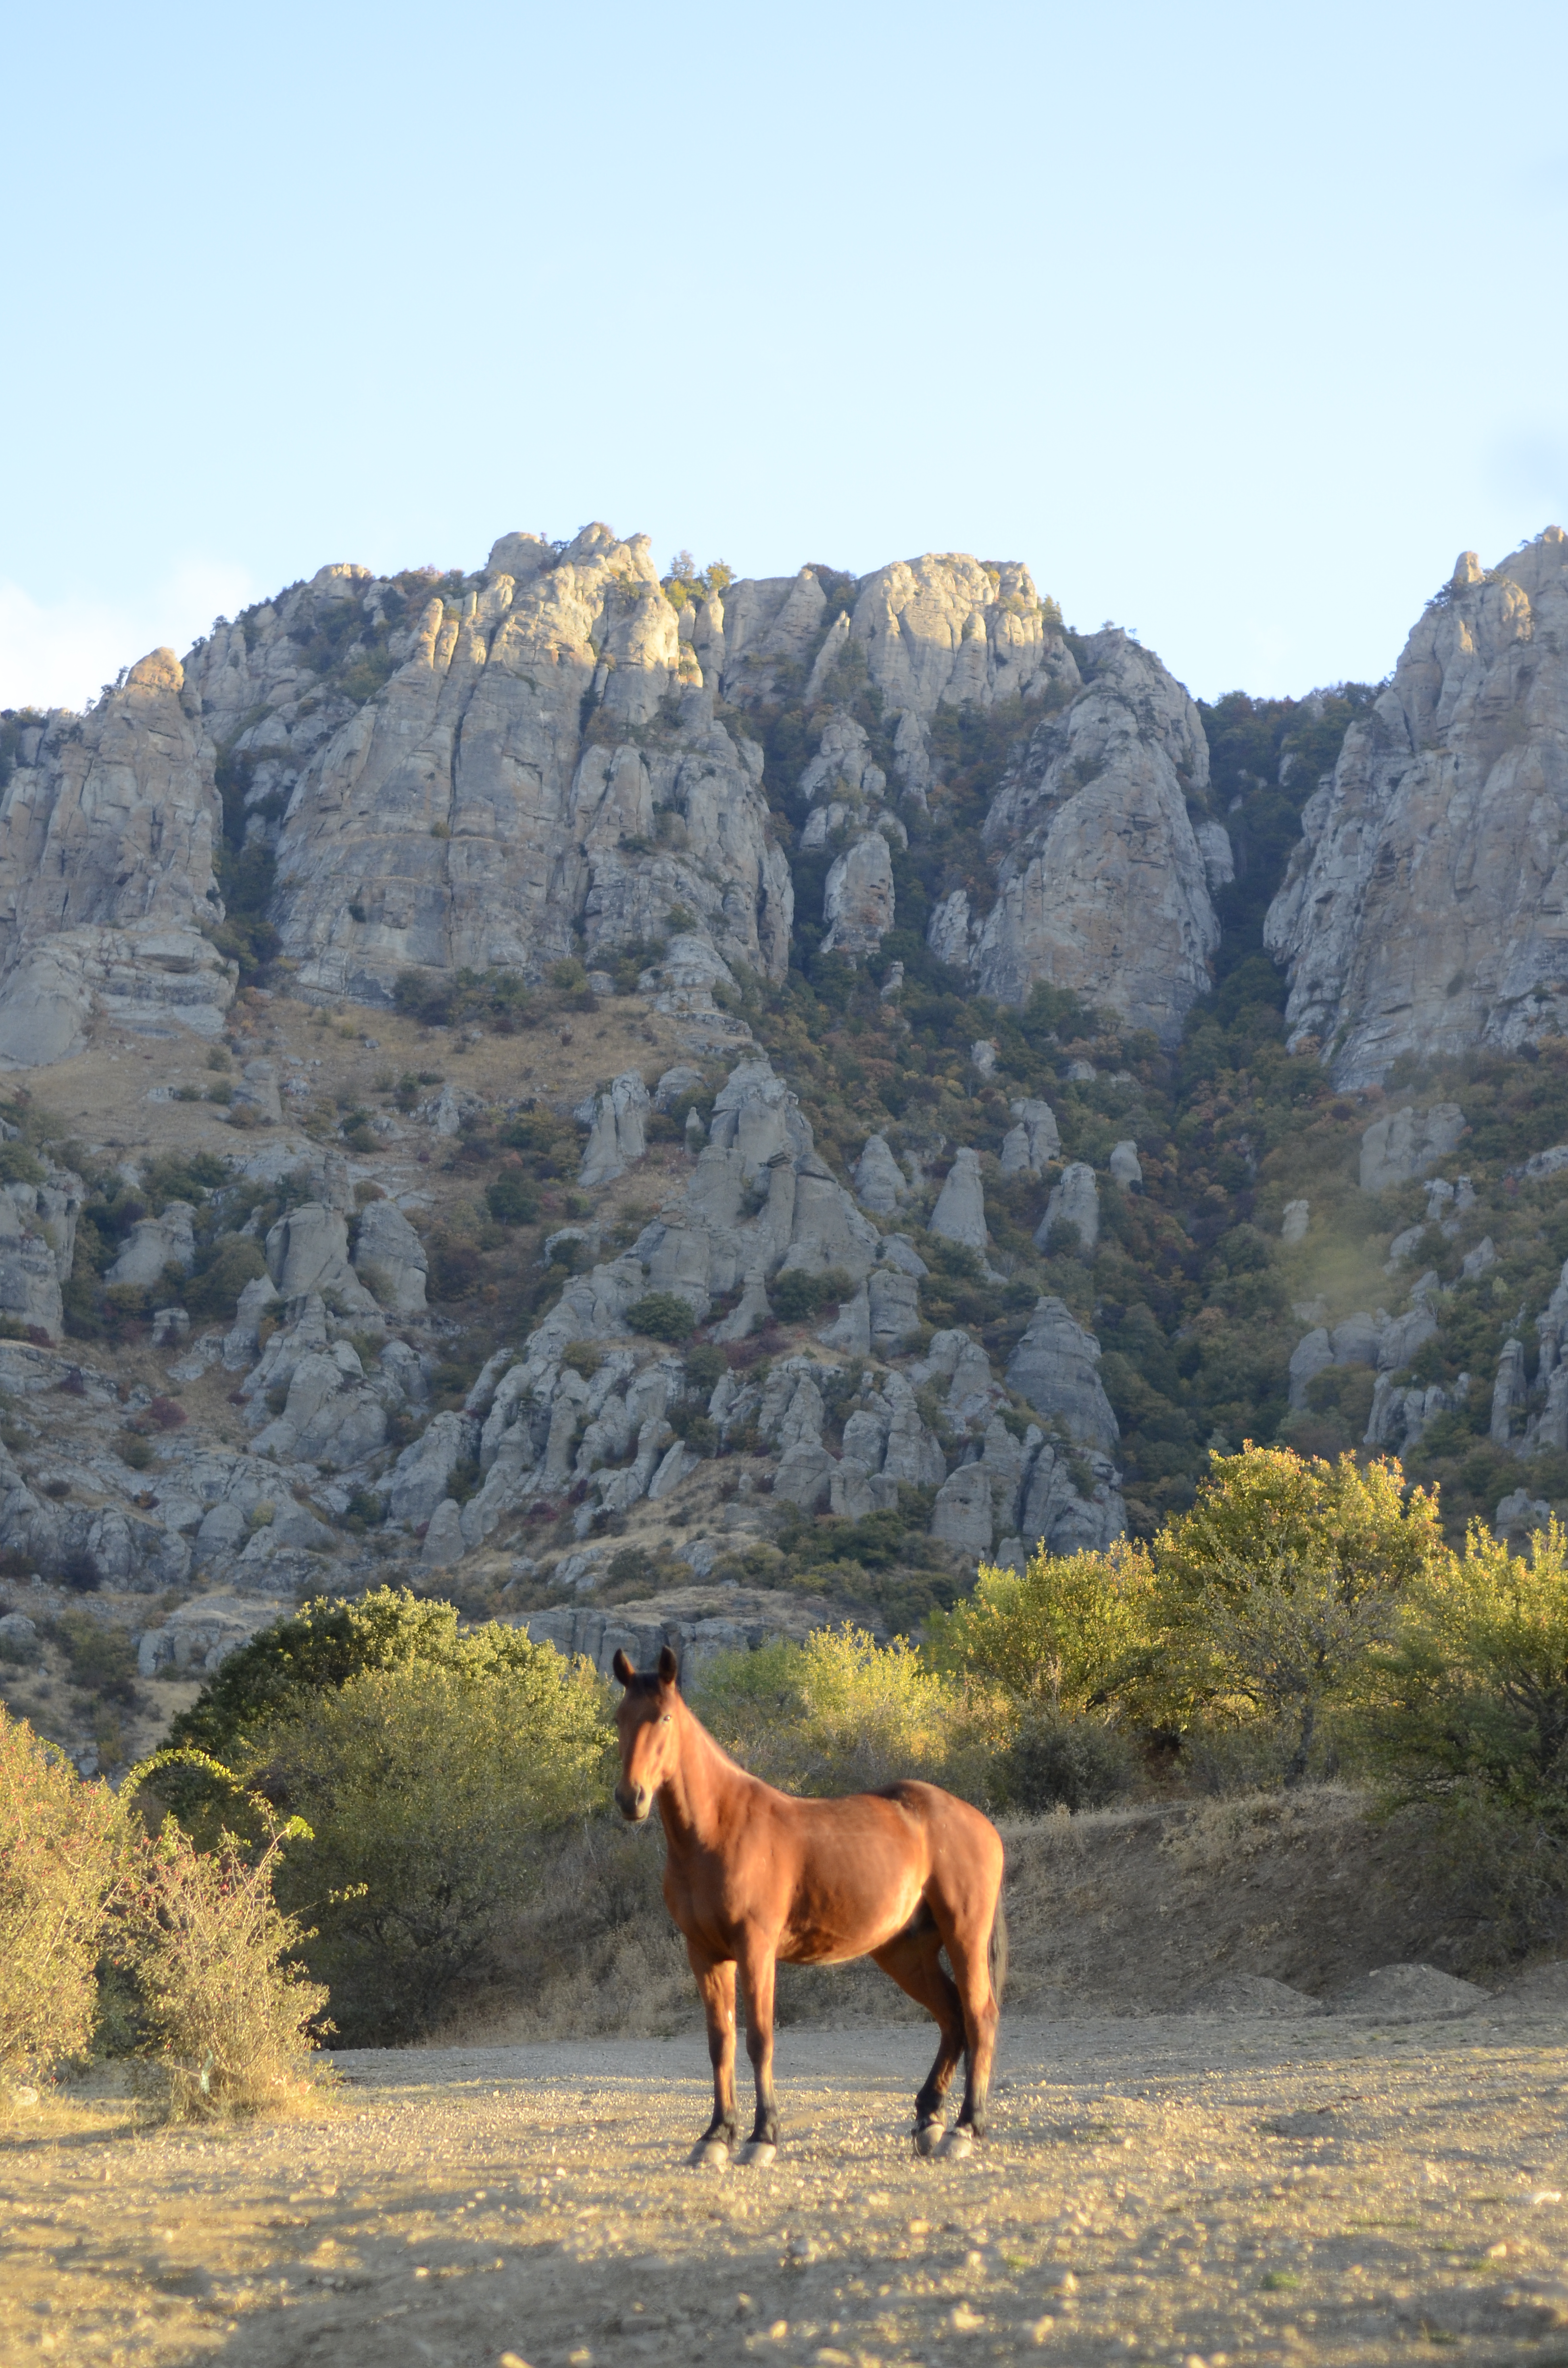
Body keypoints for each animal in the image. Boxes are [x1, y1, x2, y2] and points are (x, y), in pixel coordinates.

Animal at [615, 1648, 1009, 2169]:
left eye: (664, 1717)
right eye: (619, 1717)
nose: (631, 1798)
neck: (718, 1829)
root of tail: (978, 1821)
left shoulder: (756, 1948)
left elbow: (760, 2040)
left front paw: (762, 2137)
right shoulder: (704, 1952)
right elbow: (720, 2042)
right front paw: (717, 2135)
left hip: (964, 1933)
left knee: (979, 2015)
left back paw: (964, 2129)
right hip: (906, 1952)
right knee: (952, 2018)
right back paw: (929, 2119)